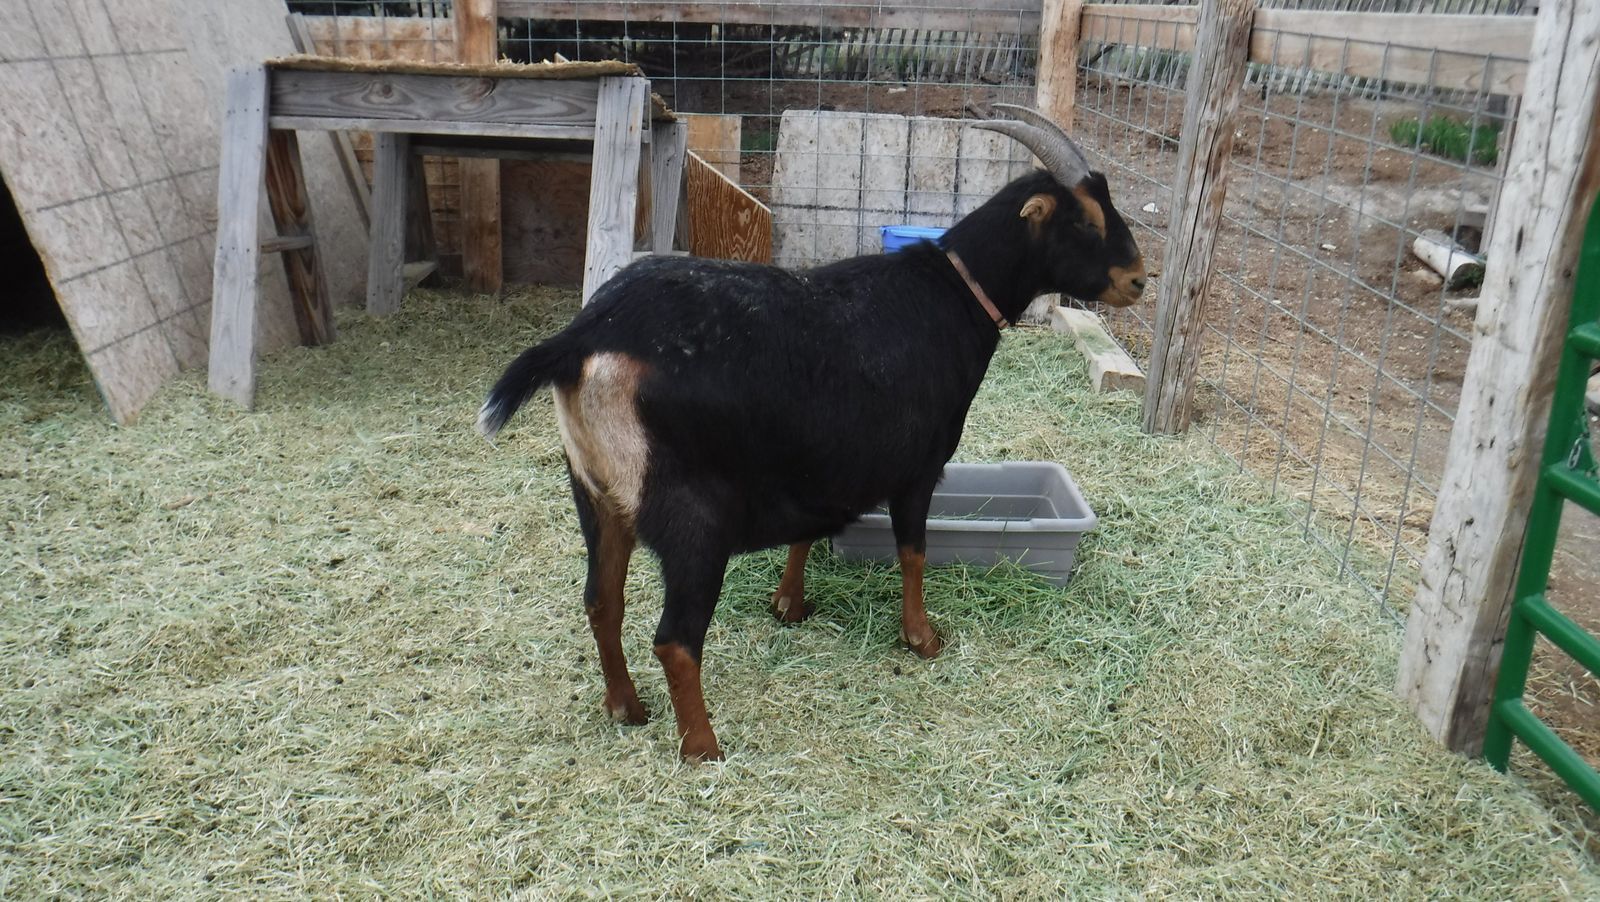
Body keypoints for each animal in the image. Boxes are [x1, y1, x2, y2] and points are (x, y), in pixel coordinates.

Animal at [478, 106, 1146, 761]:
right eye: (1086, 219)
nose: (1138, 280)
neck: (953, 293)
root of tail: (584, 339)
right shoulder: (918, 467)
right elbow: (913, 550)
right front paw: (922, 638)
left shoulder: (819, 464)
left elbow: (808, 530)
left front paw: (789, 605)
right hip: (690, 515)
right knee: (675, 638)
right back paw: (703, 746)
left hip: (595, 492)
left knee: (601, 601)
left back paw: (626, 706)